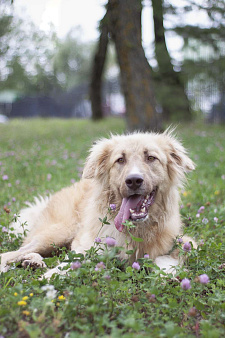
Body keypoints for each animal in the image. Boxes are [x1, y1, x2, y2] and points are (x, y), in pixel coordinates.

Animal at [0, 131, 196, 276]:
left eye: (151, 158)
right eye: (120, 160)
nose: (133, 181)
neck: (136, 229)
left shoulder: (185, 241)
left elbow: (169, 256)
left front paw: (168, 273)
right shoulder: (87, 247)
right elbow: (71, 263)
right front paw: (49, 278)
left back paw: (33, 261)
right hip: (60, 232)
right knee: (11, 253)